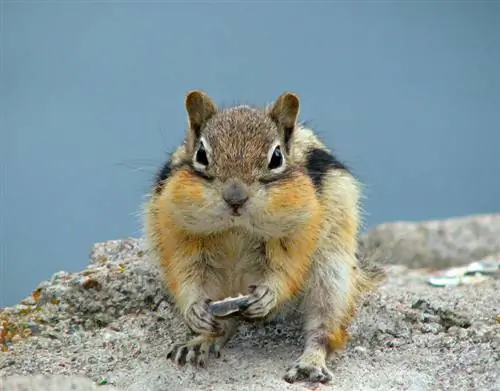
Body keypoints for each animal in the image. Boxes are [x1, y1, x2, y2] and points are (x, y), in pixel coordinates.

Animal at [143, 90, 384, 384]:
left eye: (276, 158)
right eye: (201, 154)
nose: (235, 198)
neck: (236, 228)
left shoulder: (299, 231)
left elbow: (287, 269)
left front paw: (269, 294)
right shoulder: (177, 231)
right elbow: (185, 273)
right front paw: (195, 311)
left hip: (333, 275)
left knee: (325, 328)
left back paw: (309, 363)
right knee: (224, 327)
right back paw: (200, 341)